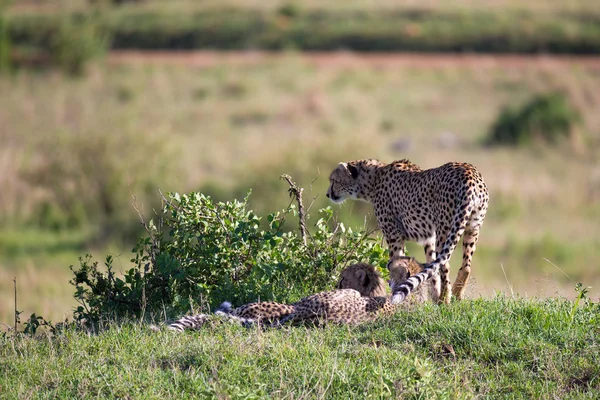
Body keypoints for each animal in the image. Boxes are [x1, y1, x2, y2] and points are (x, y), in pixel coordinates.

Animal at [328, 159, 488, 304]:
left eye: (334, 180)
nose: (327, 194)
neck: (373, 179)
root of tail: (470, 174)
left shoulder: (394, 235)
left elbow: (396, 264)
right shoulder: (429, 238)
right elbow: (431, 268)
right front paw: (434, 299)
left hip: (446, 229)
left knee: (445, 265)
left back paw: (445, 299)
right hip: (472, 228)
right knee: (465, 266)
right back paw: (455, 295)